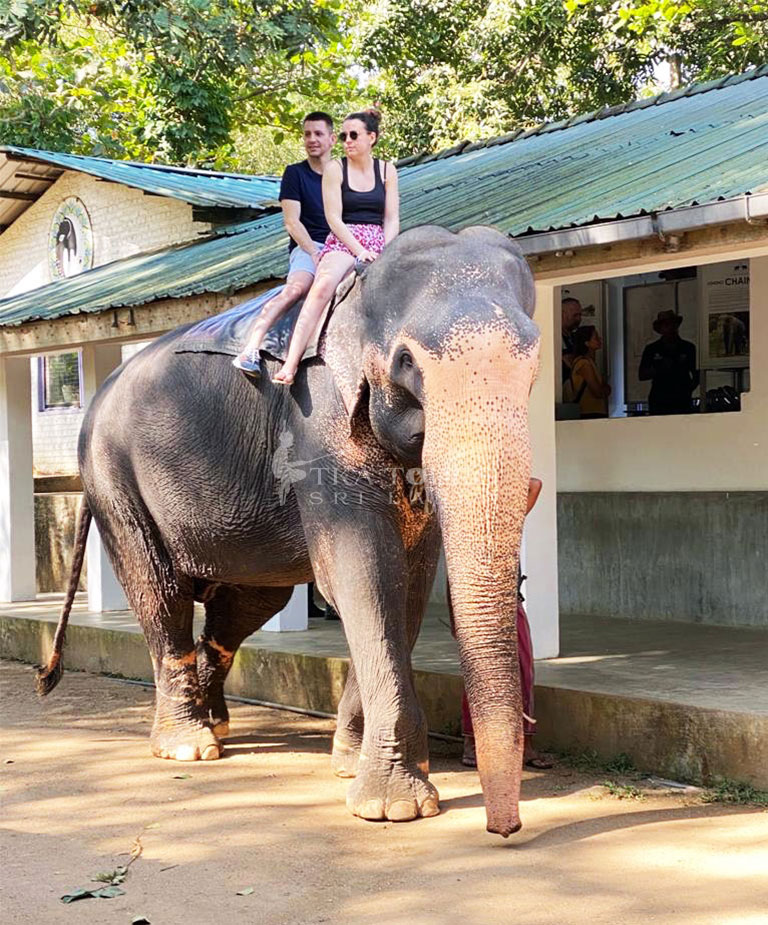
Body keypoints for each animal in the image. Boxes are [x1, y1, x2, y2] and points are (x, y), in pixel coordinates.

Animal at [37, 224, 540, 836]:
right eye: (406, 361)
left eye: (537, 363)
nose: (504, 830)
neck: (360, 288)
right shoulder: (316, 421)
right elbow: (365, 575)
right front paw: (393, 808)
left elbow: (409, 587)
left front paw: (349, 766)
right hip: (114, 478)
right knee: (161, 595)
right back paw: (188, 746)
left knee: (249, 601)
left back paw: (218, 725)